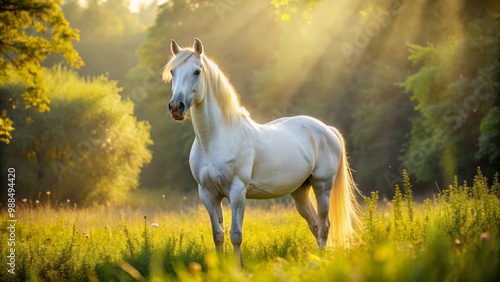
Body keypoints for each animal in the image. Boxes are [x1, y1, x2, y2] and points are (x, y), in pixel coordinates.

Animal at [163, 38, 360, 266]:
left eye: (197, 71)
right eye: (173, 72)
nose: (176, 107)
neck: (214, 139)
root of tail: (327, 129)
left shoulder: (237, 192)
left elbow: (236, 235)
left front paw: (238, 268)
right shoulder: (207, 194)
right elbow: (218, 234)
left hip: (322, 187)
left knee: (324, 225)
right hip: (300, 191)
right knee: (314, 225)